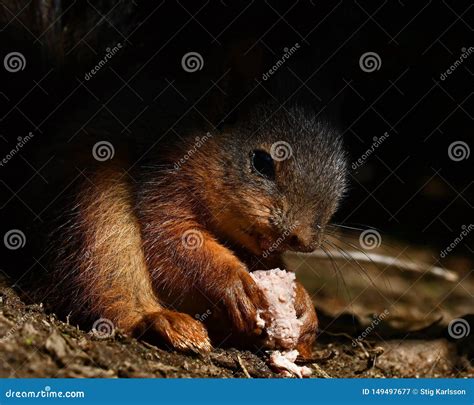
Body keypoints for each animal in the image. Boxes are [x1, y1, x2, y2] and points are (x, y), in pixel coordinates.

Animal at [50, 102, 348, 356]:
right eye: (261, 162)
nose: (304, 240)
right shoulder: (164, 185)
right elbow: (170, 240)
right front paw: (232, 281)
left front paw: (303, 303)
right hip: (100, 206)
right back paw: (160, 320)